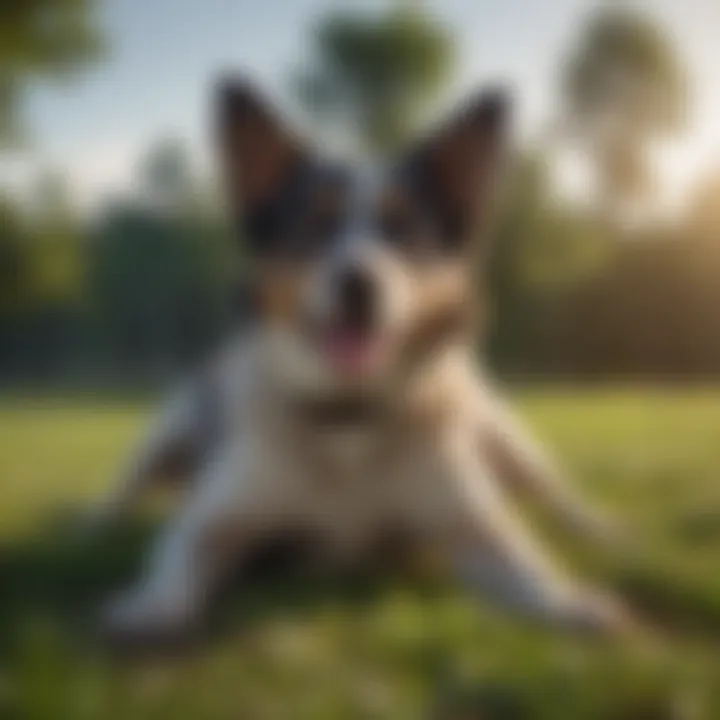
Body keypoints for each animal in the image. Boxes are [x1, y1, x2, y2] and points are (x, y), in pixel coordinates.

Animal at [97, 77, 632, 640]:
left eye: (404, 229)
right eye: (315, 225)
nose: (358, 283)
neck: (350, 418)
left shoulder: (464, 520)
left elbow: (523, 561)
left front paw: (570, 603)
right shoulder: (220, 515)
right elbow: (180, 553)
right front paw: (149, 605)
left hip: (505, 436)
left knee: (556, 494)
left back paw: (603, 529)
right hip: (170, 426)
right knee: (125, 489)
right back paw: (92, 524)